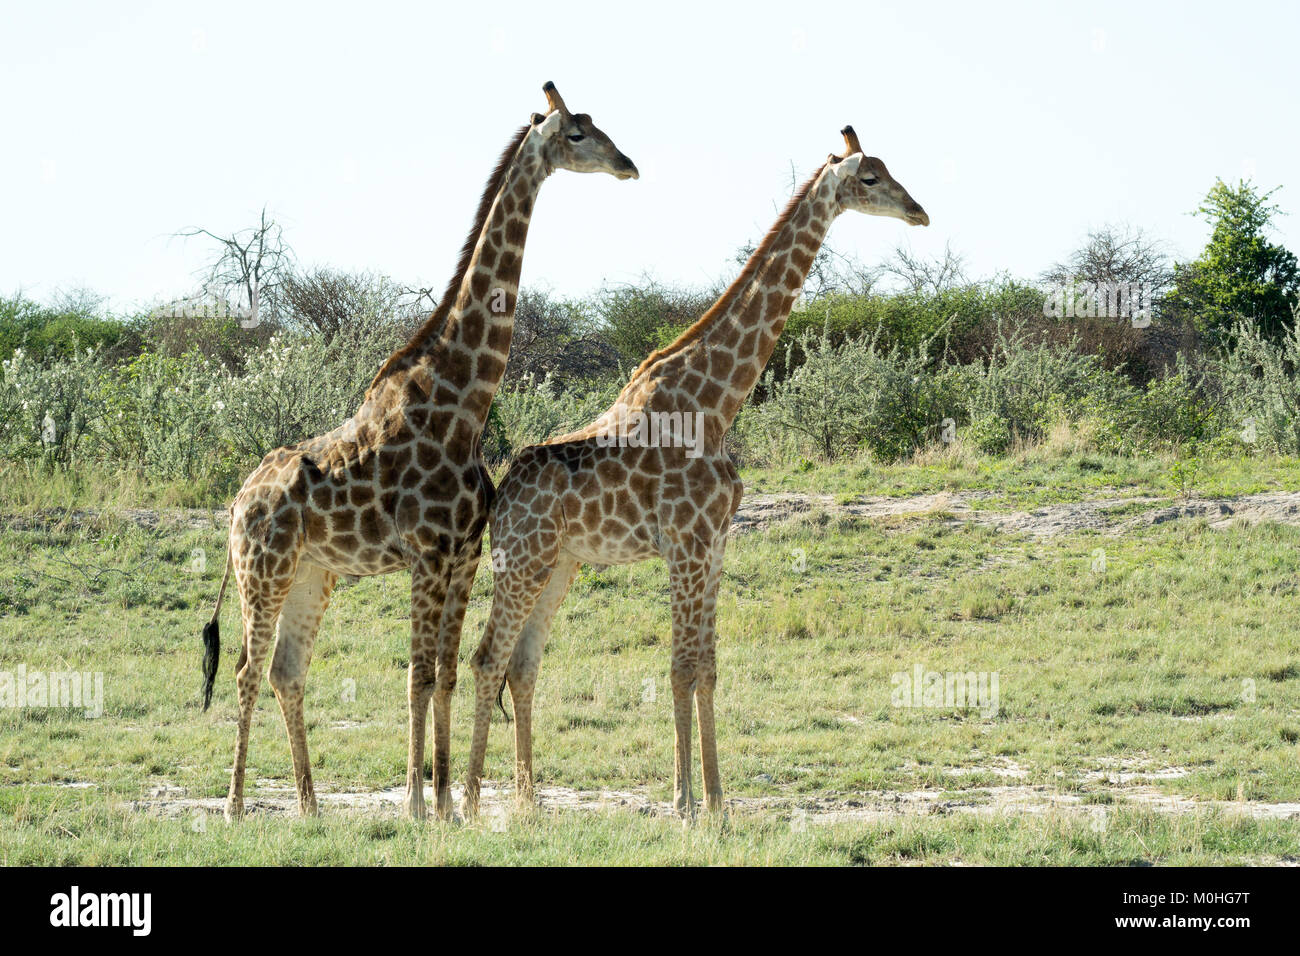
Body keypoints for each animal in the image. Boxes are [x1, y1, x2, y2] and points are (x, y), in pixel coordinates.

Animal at [199, 82, 638, 822]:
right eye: (577, 133)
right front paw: (414, 803)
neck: (463, 404)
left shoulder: (462, 557)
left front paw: (449, 805)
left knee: (288, 670)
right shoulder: (426, 557)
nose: (628, 164)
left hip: (315, 572)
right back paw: (232, 808)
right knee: (247, 669)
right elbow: (418, 675)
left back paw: (311, 806)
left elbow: (449, 674)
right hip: (263, 569)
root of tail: (236, 501)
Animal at [462, 126, 928, 819]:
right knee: (487, 658)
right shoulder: (684, 543)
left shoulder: (715, 543)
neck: (716, 402)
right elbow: (680, 666)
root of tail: (501, 494)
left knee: (522, 663)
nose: (919, 211)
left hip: (560, 563)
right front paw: (684, 802)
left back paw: (530, 802)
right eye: (869, 178)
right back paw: (466, 804)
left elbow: (707, 665)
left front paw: (718, 801)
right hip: (520, 559)